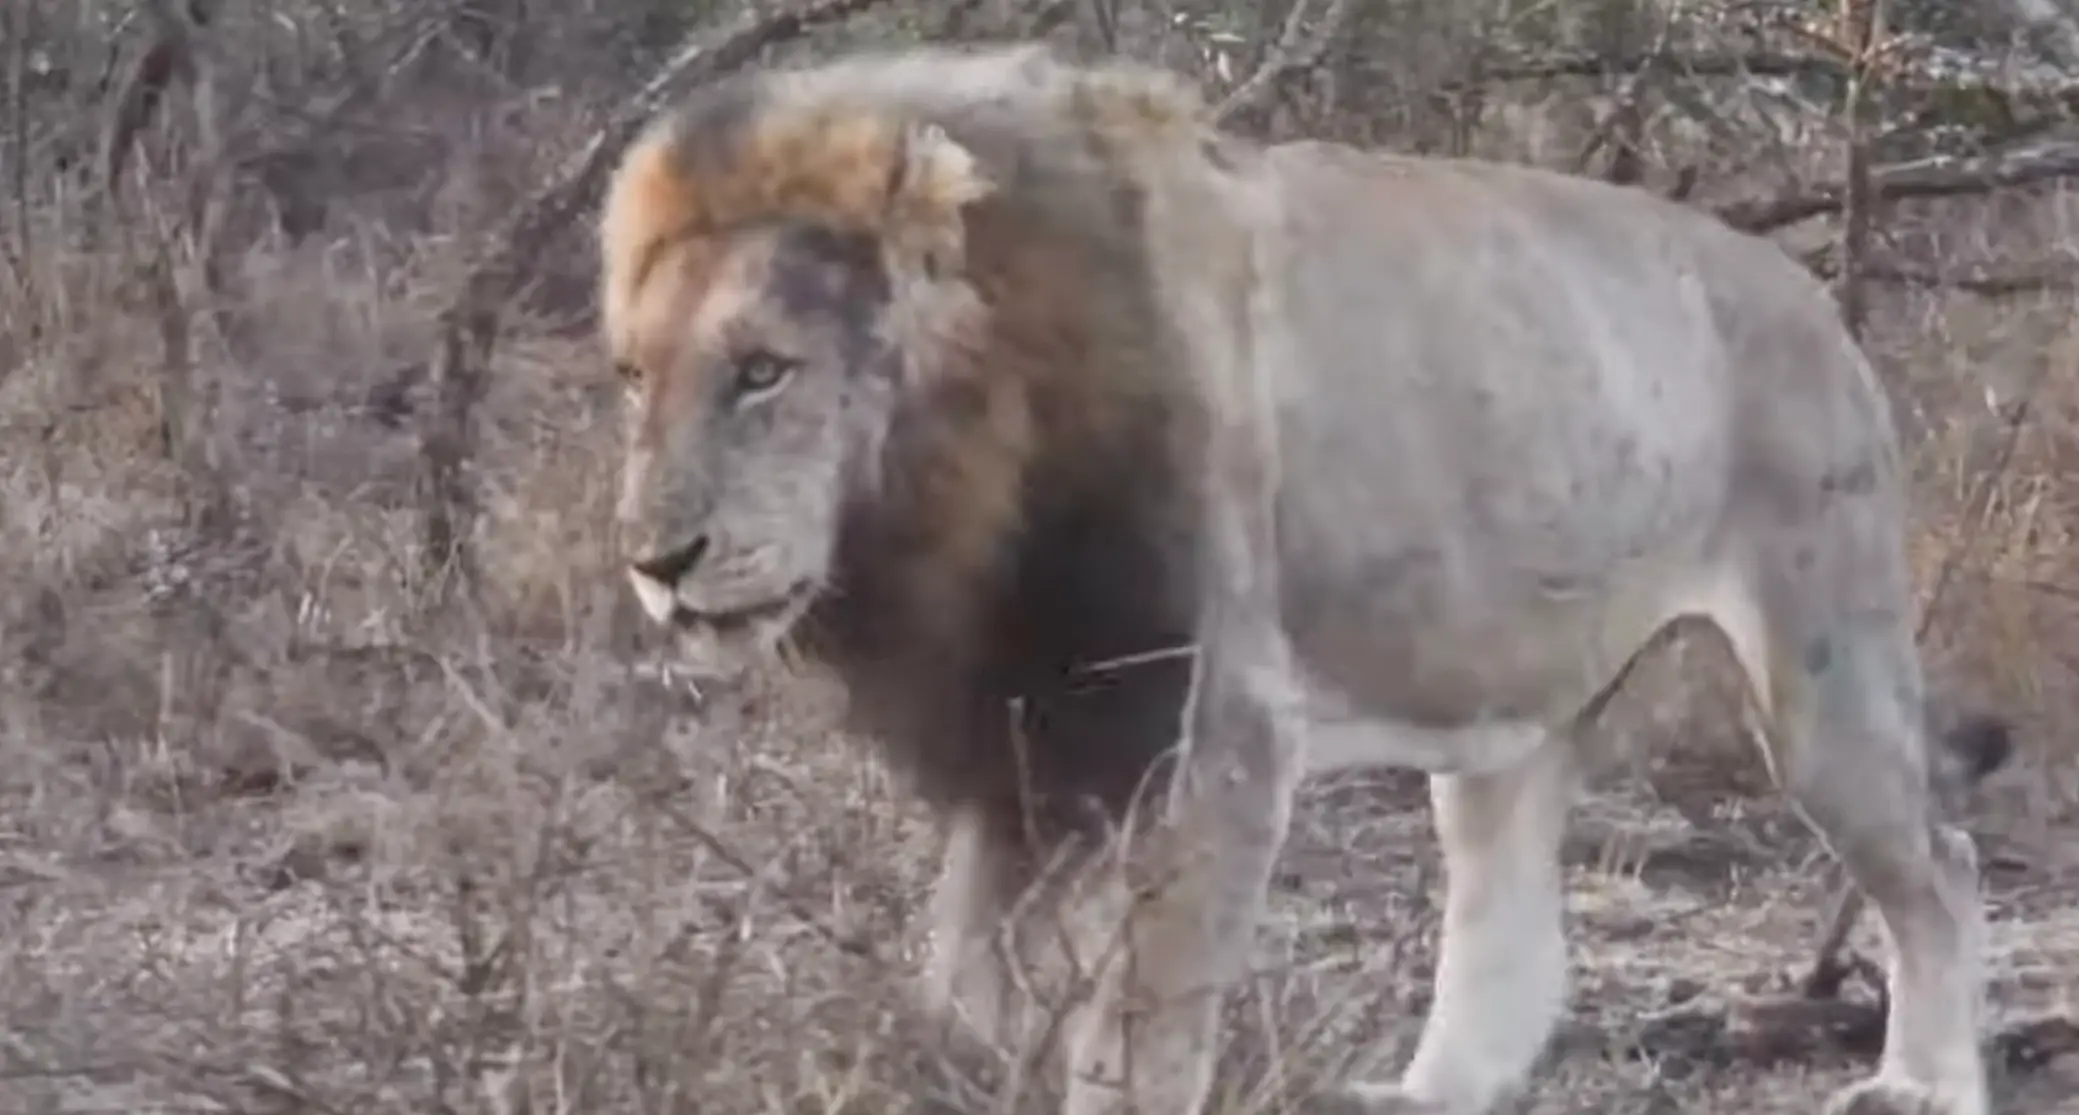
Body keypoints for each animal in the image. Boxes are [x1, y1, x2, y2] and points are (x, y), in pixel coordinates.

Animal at [596, 43, 2007, 1115]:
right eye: (633, 376)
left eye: (764, 370)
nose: (657, 563)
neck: (966, 494)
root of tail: (1814, 297)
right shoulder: (1027, 739)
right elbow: (971, 997)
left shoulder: (1211, 741)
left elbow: (1137, 1037)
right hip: (1509, 705)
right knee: (1510, 922)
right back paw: (1423, 1095)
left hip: (1821, 667)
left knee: (1941, 860)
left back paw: (1923, 1084)